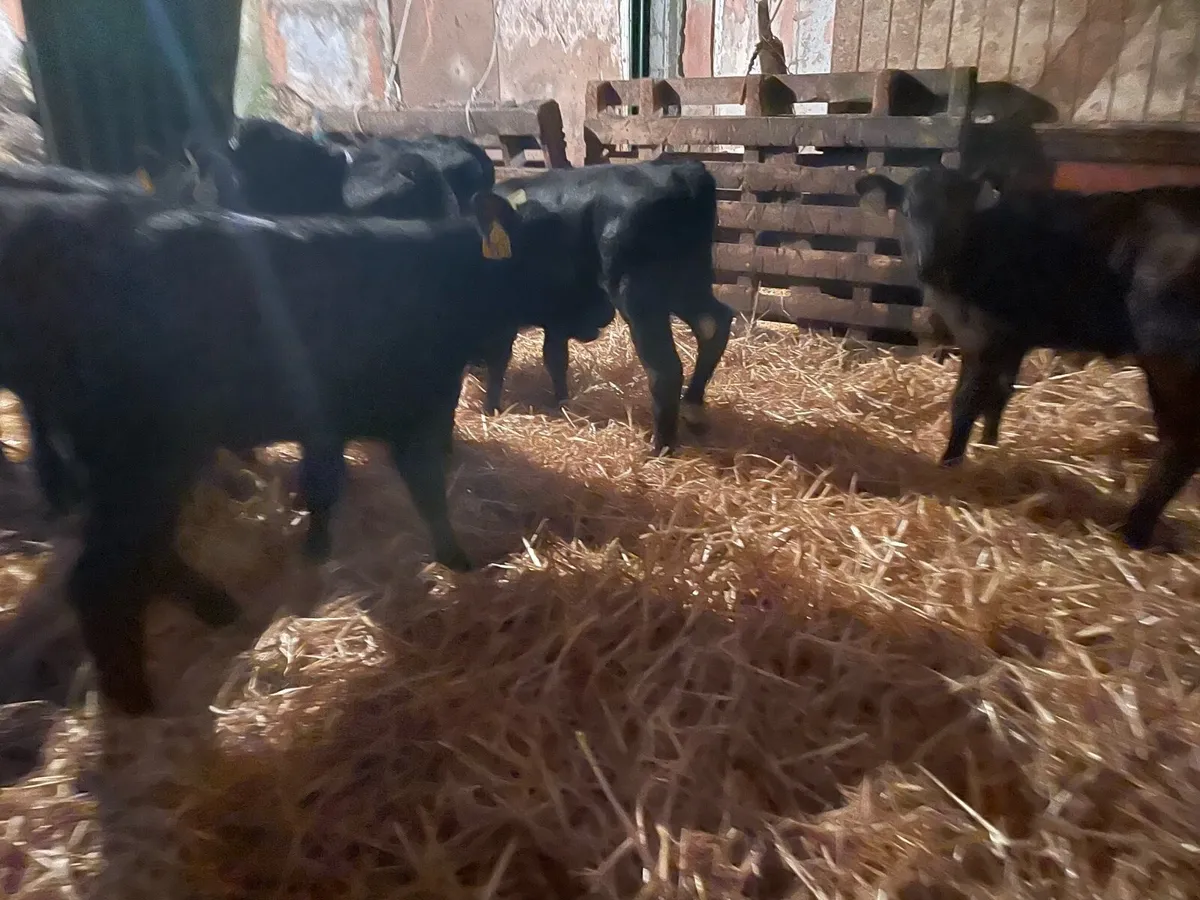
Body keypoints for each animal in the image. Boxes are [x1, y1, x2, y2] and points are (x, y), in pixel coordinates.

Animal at [0, 184, 608, 715]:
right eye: (558, 262)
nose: (604, 312)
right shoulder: (415, 413)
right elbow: (424, 491)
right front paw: (458, 563)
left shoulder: (329, 422)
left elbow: (323, 487)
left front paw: (317, 555)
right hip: (140, 456)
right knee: (99, 576)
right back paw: (137, 705)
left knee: (147, 553)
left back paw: (220, 611)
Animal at [855, 163, 1200, 550]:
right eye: (907, 211)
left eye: (960, 213)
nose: (928, 264)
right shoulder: (1012, 339)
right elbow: (999, 396)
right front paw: (989, 449)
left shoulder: (983, 337)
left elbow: (966, 402)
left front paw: (950, 462)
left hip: (1173, 355)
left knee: (1182, 443)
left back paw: (1134, 531)